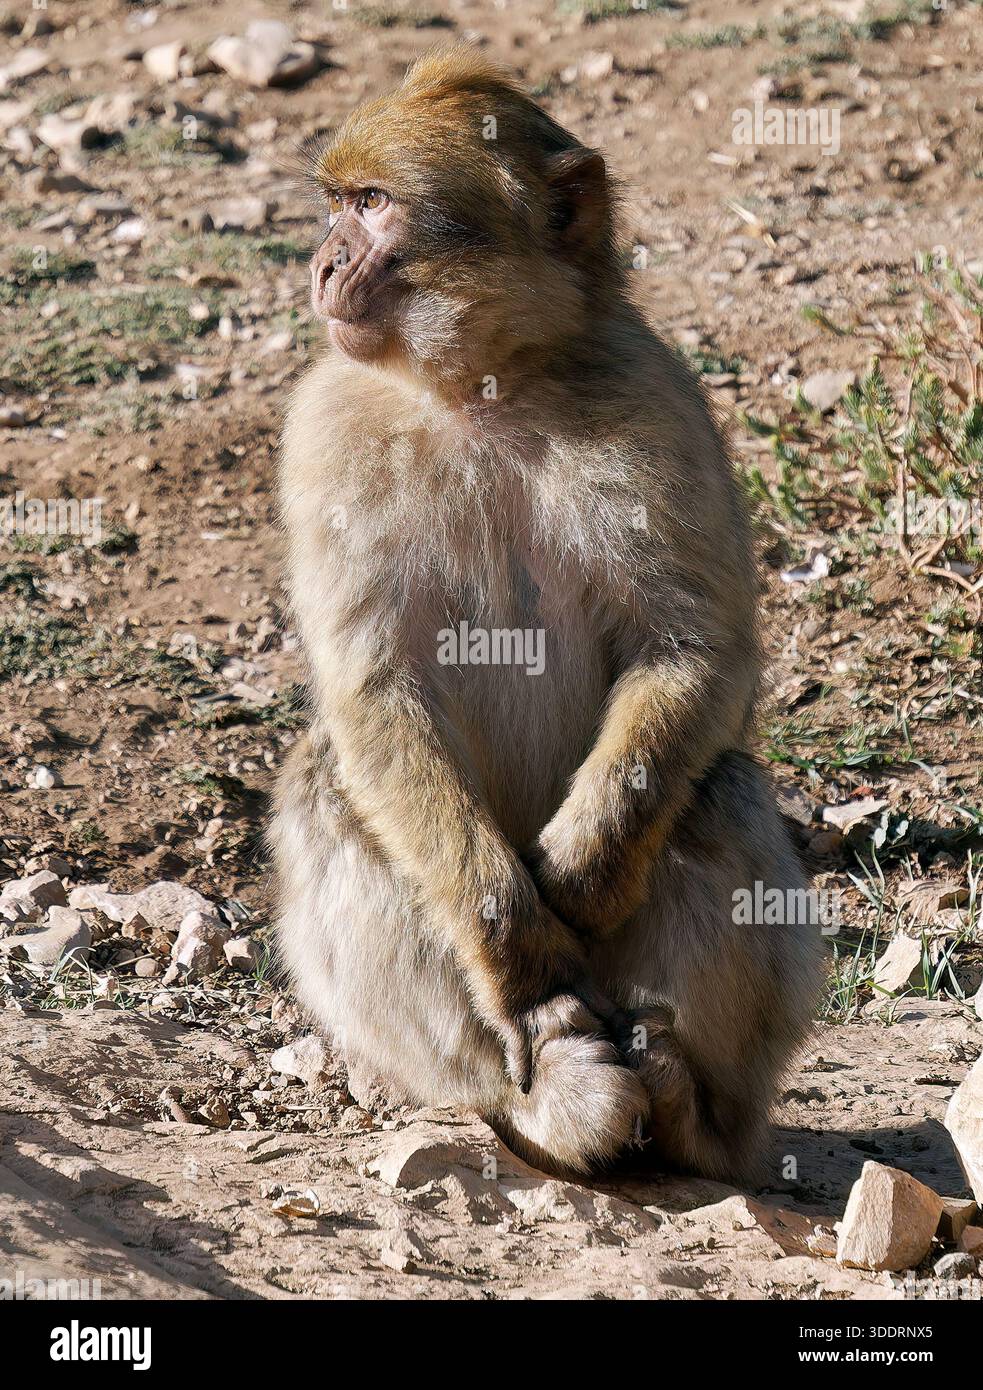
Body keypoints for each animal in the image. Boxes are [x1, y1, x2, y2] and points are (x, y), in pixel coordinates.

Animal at [273, 48, 823, 1181]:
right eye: (339, 202)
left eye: (373, 203)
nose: (322, 263)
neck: (483, 388)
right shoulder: (325, 426)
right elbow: (375, 689)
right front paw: (521, 947)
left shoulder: (655, 400)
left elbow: (694, 648)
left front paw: (577, 869)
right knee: (329, 783)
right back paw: (545, 1080)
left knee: (718, 789)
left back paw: (695, 1112)